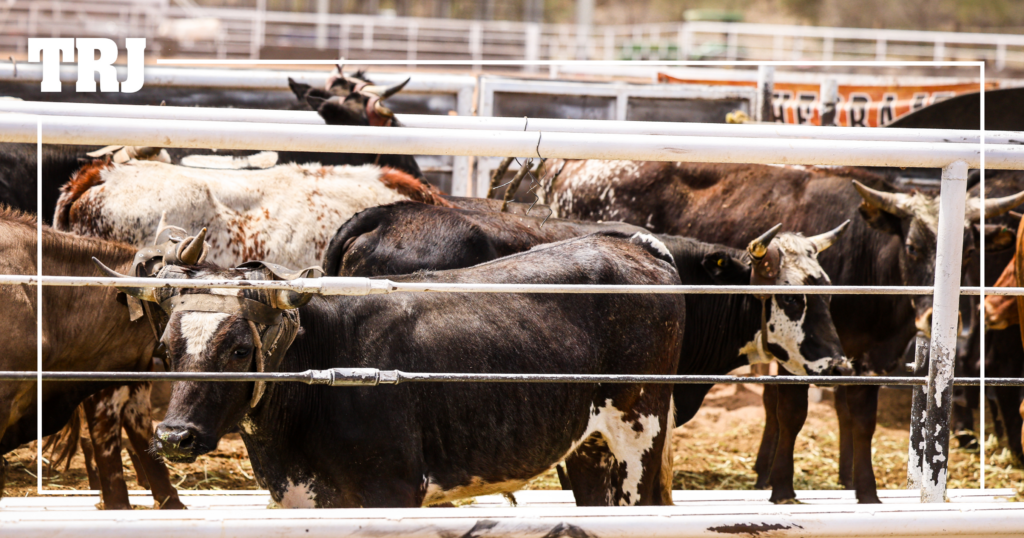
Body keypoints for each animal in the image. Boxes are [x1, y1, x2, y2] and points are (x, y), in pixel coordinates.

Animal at [97, 233, 686, 508]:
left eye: (241, 349)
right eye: (167, 348)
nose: (175, 437)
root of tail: (631, 243)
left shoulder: (392, 489)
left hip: (638, 434)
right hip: (590, 446)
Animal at [535, 159, 1024, 503]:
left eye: (971, 251)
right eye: (913, 246)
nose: (933, 316)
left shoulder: (866, 357)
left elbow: (860, 417)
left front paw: (865, 492)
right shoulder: (801, 356)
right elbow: (790, 412)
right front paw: (783, 488)